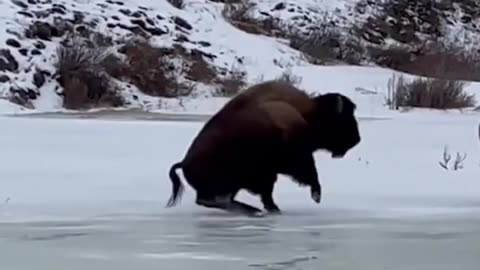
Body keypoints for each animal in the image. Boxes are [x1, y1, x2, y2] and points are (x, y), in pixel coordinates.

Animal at [165, 80, 360, 217]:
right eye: (343, 120)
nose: (357, 139)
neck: (307, 113)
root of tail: (184, 163)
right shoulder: (295, 159)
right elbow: (310, 174)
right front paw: (316, 195)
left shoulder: (269, 173)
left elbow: (268, 193)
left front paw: (273, 208)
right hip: (227, 181)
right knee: (215, 200)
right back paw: (253, 210)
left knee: (214, 200)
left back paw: (255, 209)